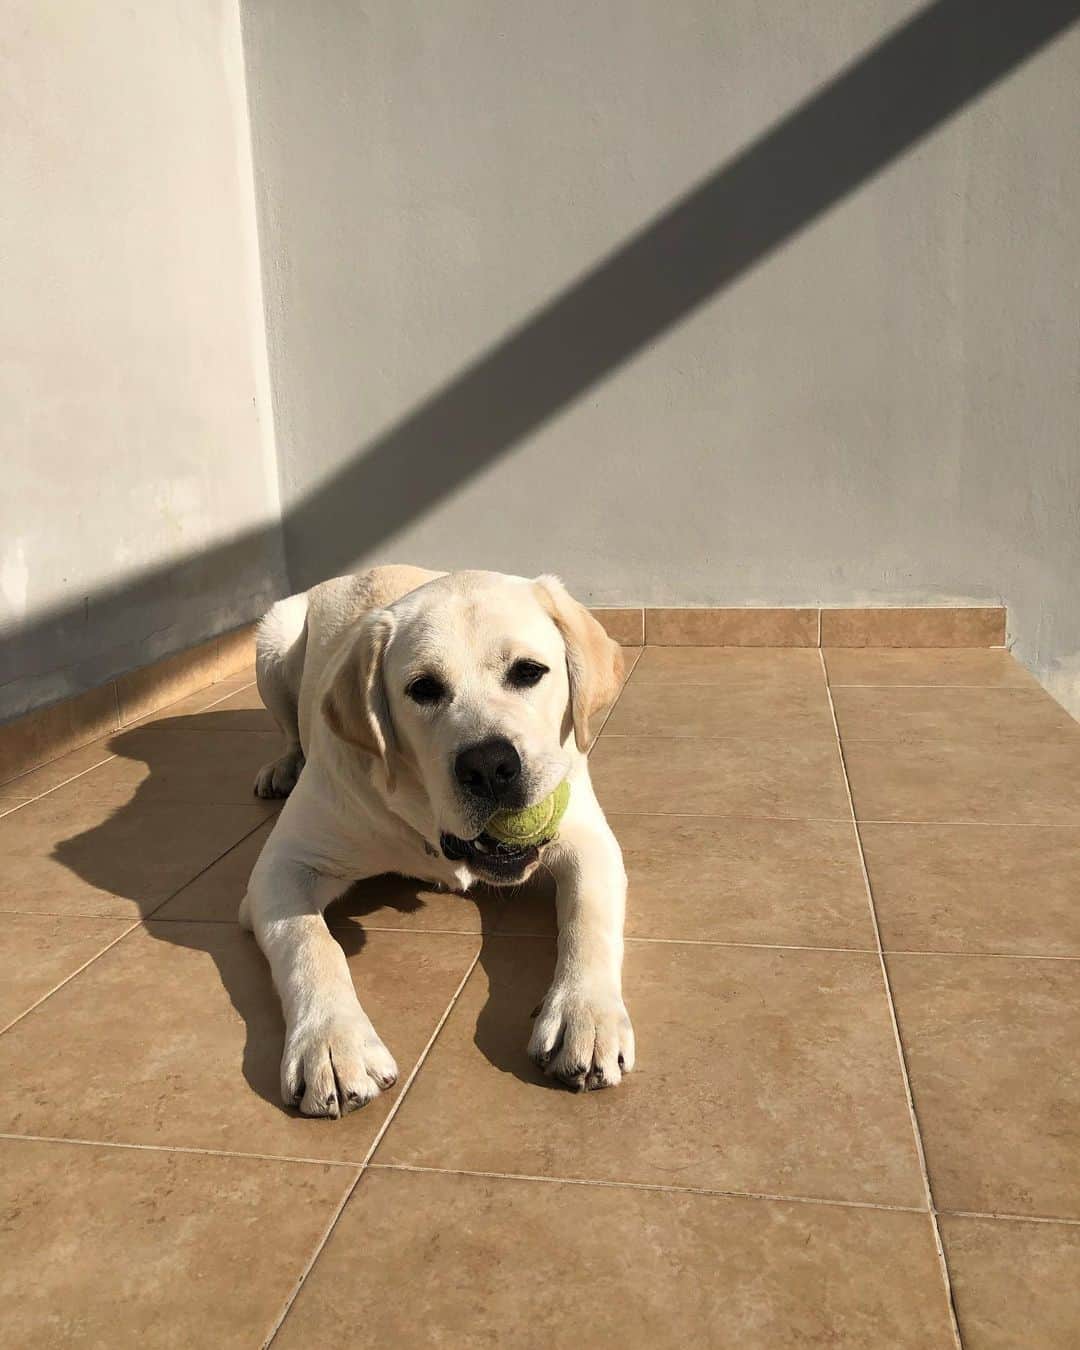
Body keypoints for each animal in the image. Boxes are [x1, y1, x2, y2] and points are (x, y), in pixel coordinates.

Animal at [238, 567, 631, 1117]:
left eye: (528, 672)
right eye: (423, 689)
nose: (489, 765)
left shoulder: (588, 839)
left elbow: (587, 920)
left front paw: (586, 1015)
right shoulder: (281, 867)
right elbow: (309, 941)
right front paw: (331, 1044)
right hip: (272, 640)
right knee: (289, 730)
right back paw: (281, 767)